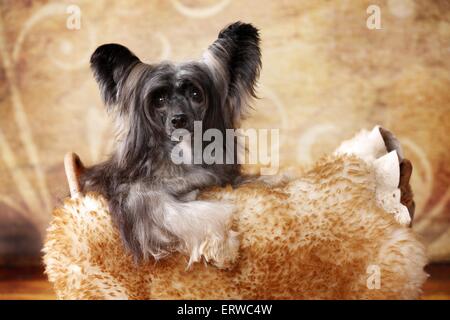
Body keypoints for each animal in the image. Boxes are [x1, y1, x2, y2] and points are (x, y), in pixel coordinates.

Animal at [80, 21, 262, 268]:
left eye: (195, 93)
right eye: (159, 99)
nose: (178, 119)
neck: (183, 153)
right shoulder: (136, 194)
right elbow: (173, 212)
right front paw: (223, 245)